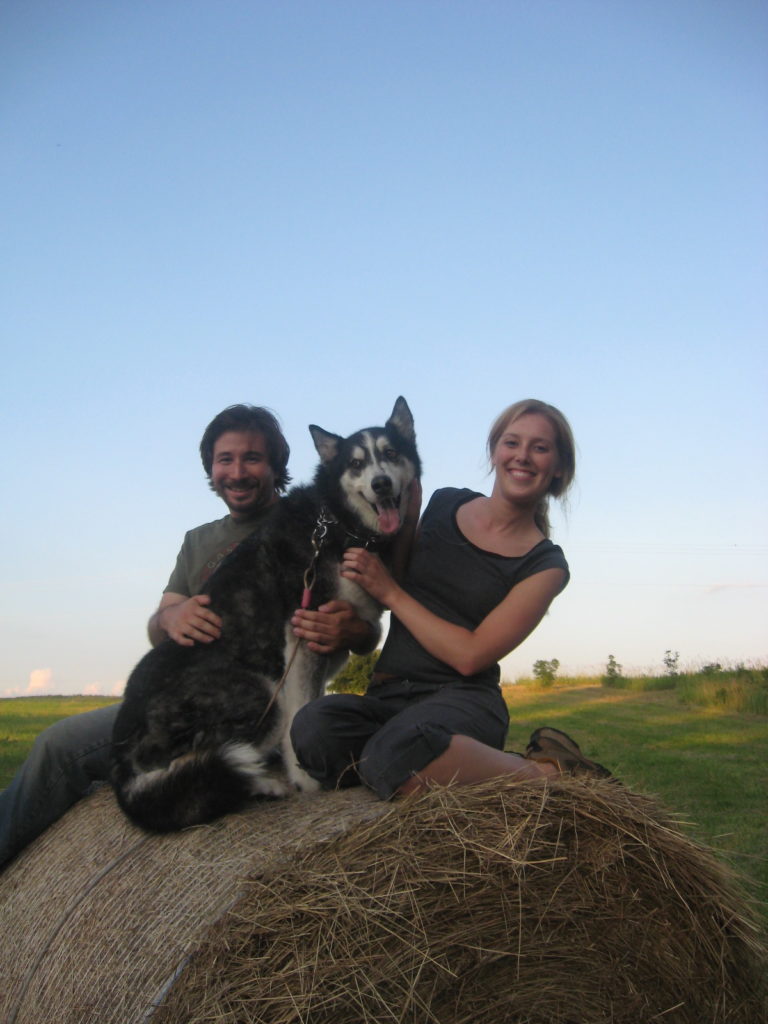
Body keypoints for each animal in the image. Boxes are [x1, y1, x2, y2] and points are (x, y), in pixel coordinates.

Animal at [110, 393, 421, 831]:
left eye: (391, 453)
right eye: (356, 464)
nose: (381, 484)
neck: (336, 520)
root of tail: (120, 768)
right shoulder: (304, 634)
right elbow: (300, 717)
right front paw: (307, 781)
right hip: (259, 692)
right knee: (196, 772)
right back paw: (262, 784)